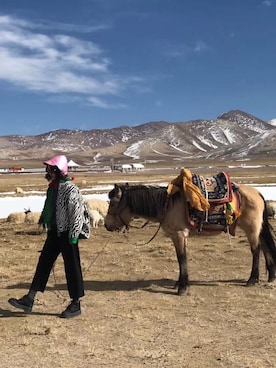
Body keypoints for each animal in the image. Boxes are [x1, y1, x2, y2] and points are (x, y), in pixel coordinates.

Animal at [104, 178, 276, 296]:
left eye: (112, 203)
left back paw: (252, 280)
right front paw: (180, 283)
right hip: (258, 228)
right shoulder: (179, 236)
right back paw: (271, 277)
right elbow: (181, 258)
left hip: (251, 228)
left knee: (256, 250)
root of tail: (257, 193)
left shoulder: (179, 235)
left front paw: (182, 288)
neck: (167, 204)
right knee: (265, 247)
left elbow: (181, 258)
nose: (107, 225)